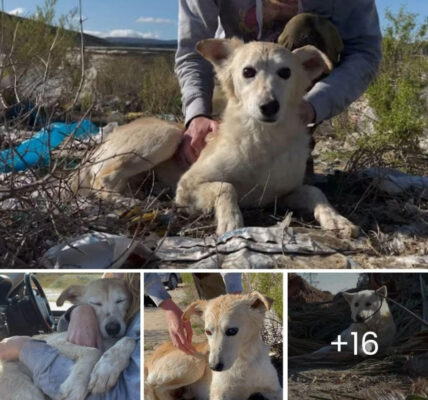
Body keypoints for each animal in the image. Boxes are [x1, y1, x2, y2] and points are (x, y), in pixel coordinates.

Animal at [0, 278, 135, 400]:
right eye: (96, 303)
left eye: (121, 300)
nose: (113, 328)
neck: (106, 340)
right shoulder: (54, 341)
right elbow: (94, 350)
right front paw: (77, 384)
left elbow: (129, 339)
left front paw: (107, 369)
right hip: (26, 391)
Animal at [73, 38, 358, 238]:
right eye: (248, 72)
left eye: (285, 73)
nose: (269, 106)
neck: (263, 141)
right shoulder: (187, 185)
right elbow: (226, 186)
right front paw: (232, 222)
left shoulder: (282, 195)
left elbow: (315, 191)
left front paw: (337, 219)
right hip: (167, 135)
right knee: (103, 179)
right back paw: (129, 202)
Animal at [145, 290, 282, 400]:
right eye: (208, 332)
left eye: (232, 331)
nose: (213, 367)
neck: (245, 361)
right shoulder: (219, 394)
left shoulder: (275, 390)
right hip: (197, 363)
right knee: (150, 385)